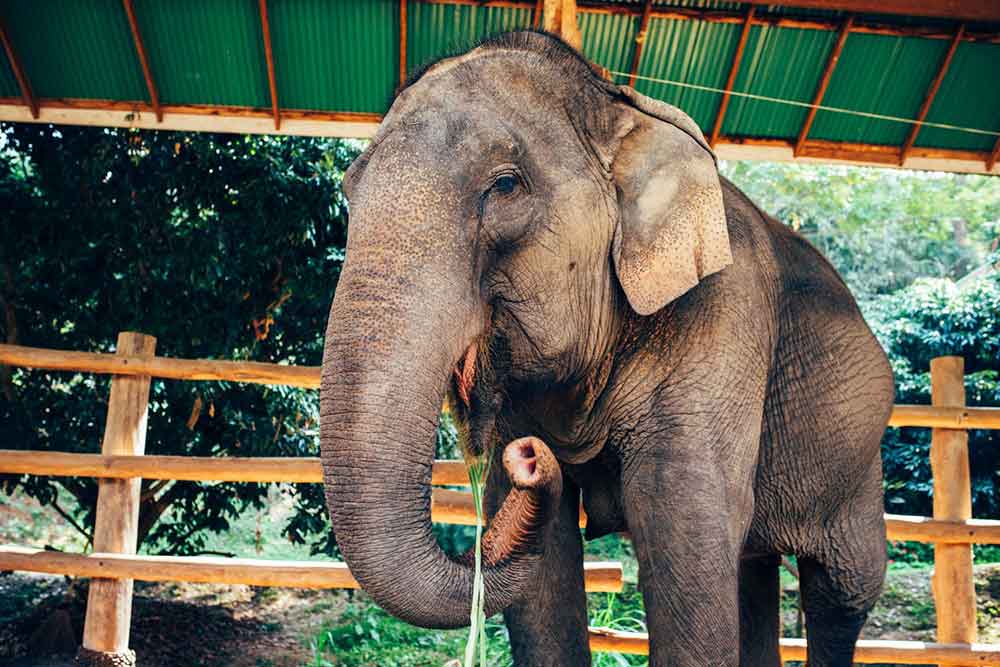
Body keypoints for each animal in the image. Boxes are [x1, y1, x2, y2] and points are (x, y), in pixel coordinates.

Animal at [319, 30, 894, 667]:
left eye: (505, 185)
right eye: (347, 192)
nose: (526, 456)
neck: (621, 105)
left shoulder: (723, 319)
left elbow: (682, 527)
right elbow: (546, 567)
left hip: (859, 461)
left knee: (843, 586)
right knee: (754, 570)